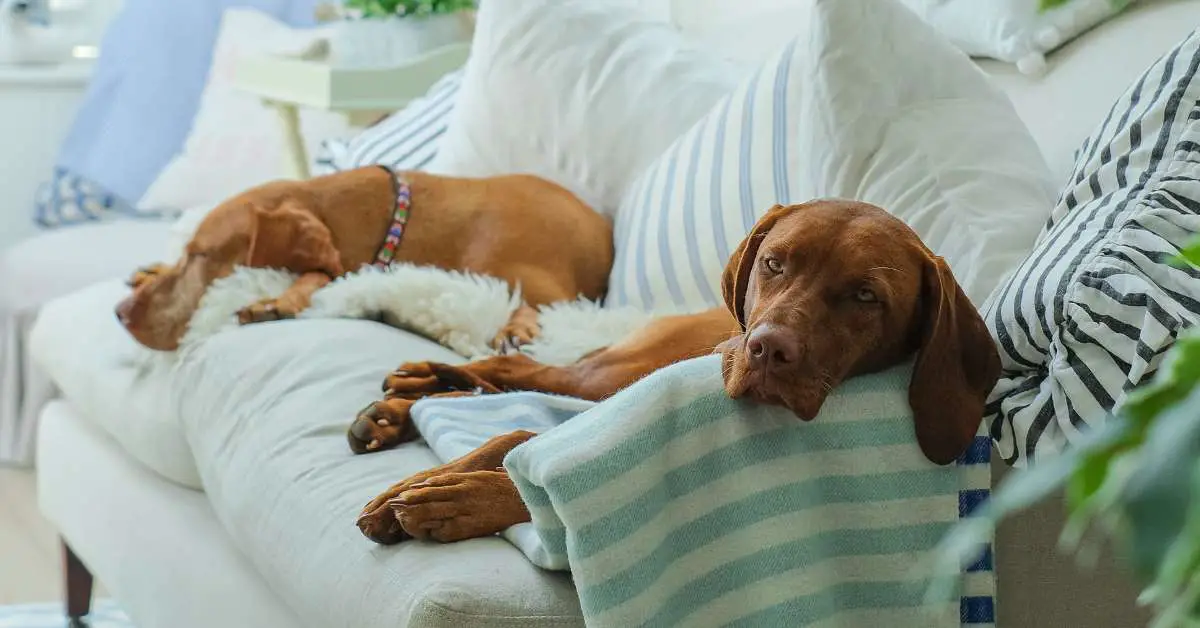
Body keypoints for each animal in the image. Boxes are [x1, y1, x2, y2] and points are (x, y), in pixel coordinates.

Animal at [117, 166, 614, 353]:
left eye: (202, 255)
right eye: (187, 251)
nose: (120, 313)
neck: (395, 220)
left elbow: (320, 272)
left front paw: (279, 301)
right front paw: (150, 269)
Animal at [355, 200, 1003, 545]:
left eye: (867, 296)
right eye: (775, 263)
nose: (766, 349)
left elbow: (530, 466)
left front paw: (457, 496)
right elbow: (509, 435)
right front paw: (412, 485)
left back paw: (403, 404)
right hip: (612, 373)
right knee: (516, 365)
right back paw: (406, 393)